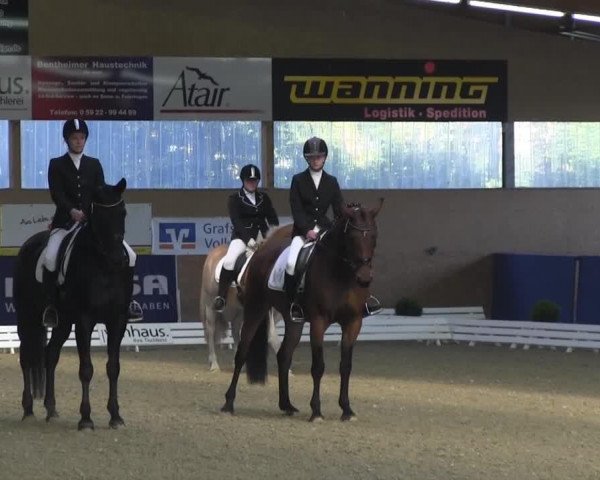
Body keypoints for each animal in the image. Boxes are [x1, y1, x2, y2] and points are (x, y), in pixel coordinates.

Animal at [14, 180, 134, 432]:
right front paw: (86, 419)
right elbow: (86, 369)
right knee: (26, 357)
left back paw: (51, 410)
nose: (118, 259)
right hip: (27, 317)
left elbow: (113, 367)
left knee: (50, 355)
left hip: (63, 323)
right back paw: (28, 410)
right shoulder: (84, 321)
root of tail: (28, 245)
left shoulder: (118, 320)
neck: (104, 266)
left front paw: (115, 416)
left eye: (123, 213)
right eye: (99, 215)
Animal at [221, 201, 384, 422]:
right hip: (256, 308)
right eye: (351, 237)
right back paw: (228, 403)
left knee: (284, 355)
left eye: (374, 236)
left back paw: (286, 405)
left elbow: (346, 366)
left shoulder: (353, 322)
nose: (364, 278)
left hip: (293, 320)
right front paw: (316, 411)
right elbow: (318, 367)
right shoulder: (318, 321)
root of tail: (260, 251)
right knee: (242, 353)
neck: (341, 274)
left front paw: (347, 409)